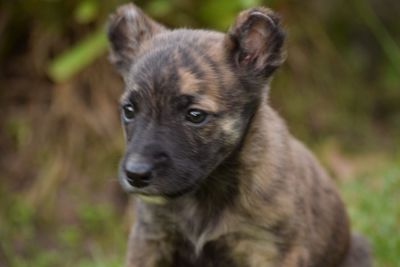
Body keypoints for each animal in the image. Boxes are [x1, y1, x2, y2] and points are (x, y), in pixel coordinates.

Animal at [107, 4, 372, 267]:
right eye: (129, 110)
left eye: (195, 115)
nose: (136, 175)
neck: (207, 192)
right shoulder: (150, 239)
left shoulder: (270, 249)